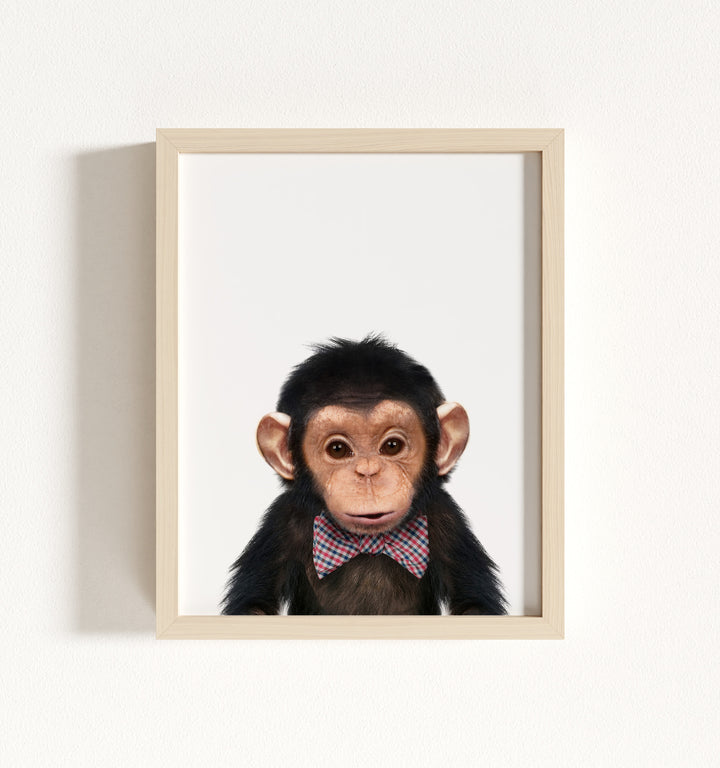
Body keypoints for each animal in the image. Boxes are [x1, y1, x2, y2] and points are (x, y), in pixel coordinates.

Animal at [221, 335, 506, 615]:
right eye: (337, 449)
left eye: (392, 446)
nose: (368, 472)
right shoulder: (280, 523)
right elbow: (254, 605)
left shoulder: (447, 520)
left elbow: (474, 604)